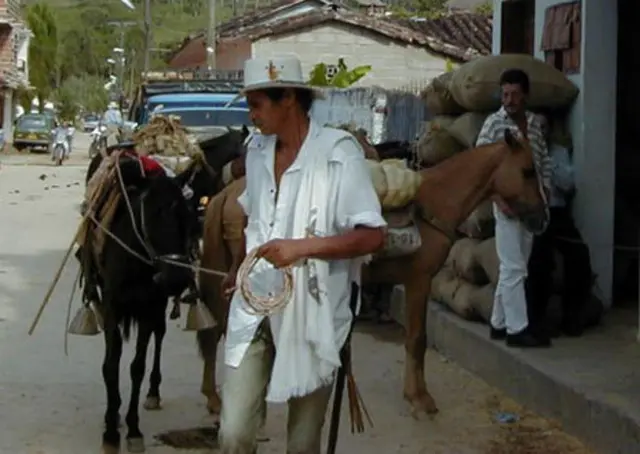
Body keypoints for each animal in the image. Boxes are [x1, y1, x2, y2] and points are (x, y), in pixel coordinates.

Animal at [196, 129, 544, 418]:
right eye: (528, 171)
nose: (542, 218)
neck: (433, 203)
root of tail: (225, 195)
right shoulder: (419, 281)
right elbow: (416, 338)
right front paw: (420, 399)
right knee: (218, 331)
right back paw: (218, 399)